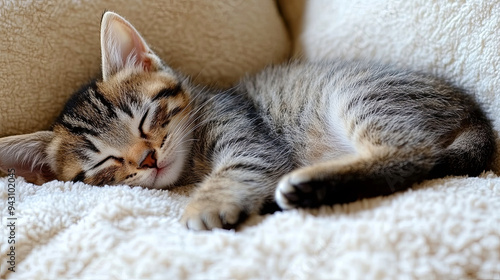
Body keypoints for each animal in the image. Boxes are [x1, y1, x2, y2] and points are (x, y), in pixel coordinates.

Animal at [0, 12, 494, 230]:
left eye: (145, 118)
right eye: (104, 162)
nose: (148, 159)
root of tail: (475, 112)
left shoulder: (247, 137)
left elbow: (239, 167)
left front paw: (205, 205)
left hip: (360, 97)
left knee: (413, 155)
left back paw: (308, 185)